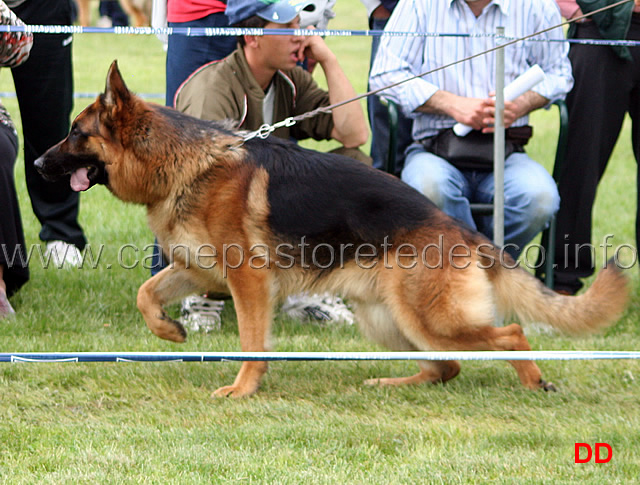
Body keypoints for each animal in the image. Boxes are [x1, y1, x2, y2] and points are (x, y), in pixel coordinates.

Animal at [36, 62, 632, 398]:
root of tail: (461, 231)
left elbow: (252, 343)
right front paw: (170, 332)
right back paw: (392, 382)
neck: (182, 163)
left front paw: (243, 390)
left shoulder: (248, 284)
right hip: (389, 323)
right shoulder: (198, 271)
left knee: (508, 334)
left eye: (75, 133)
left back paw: (533, 380)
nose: (38, 166)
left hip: (427, 318)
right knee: (447, 367)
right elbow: (145, 293)